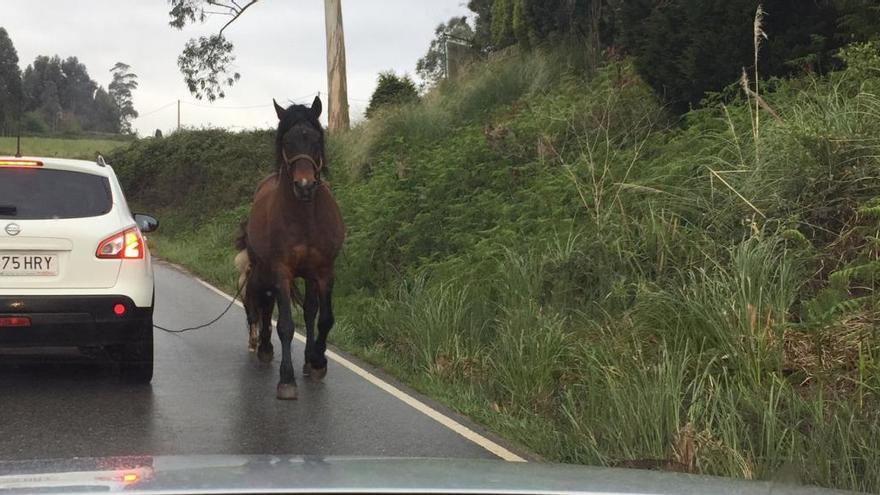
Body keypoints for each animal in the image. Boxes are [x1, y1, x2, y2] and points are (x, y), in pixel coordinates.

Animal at [234, 96, 344, 400]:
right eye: (287, 141)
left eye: (316, 139)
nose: (304, 186)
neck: (305, 219)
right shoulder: (281, 270)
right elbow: (284, 324)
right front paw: (286, 379)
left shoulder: (324, 272)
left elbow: (324, 319)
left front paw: (317, 361)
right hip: (263, 271)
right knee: (264, 303)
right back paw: (264, 348)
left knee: (308, 310)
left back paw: (307, 359)